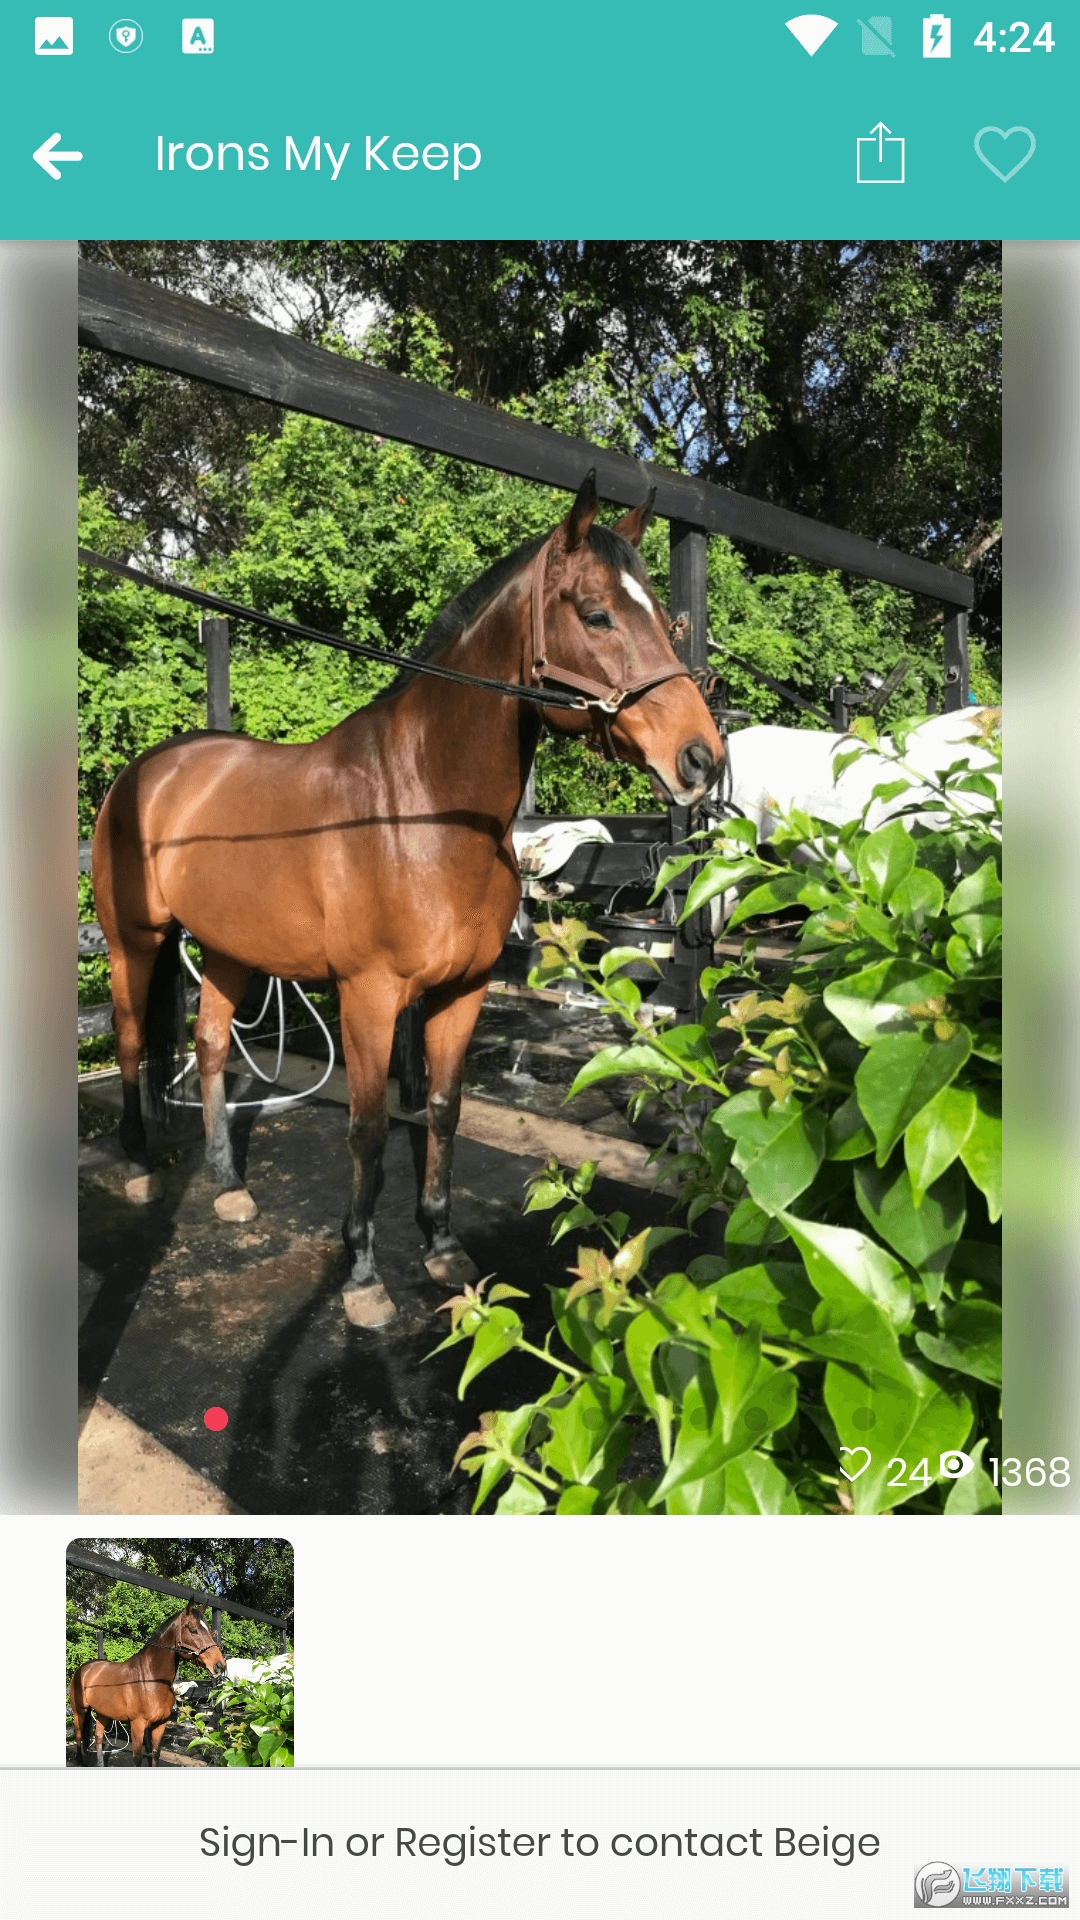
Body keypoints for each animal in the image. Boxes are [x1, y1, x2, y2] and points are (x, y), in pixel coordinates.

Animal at [69, 1601, 226, 1769]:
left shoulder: (160, 1724)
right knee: (78, 1733)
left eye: (211, 1632)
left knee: (98, 1735)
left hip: (103, 1712)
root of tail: (83, 1669)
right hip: (79, 1711)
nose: (219, 1665)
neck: (149, 1679)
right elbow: (137, 1759)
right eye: (193, 1629)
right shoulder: (137, 1725)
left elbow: (155, 1754)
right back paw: (80, 1760)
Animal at [92, 471, 724, 1329]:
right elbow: (366, 1133)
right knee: (130, 1039)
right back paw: (139, 1165)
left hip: (228, 949)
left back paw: (228, 1187)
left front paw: (442, 1244)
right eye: (596, 613)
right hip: (134, 939)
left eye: (663, 616)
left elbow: (444, 1111)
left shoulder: (462, 992)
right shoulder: (367, 996)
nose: (701, 758)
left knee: (213, 1043)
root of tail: (148, 772)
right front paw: (361, 1275)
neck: (417, 808)